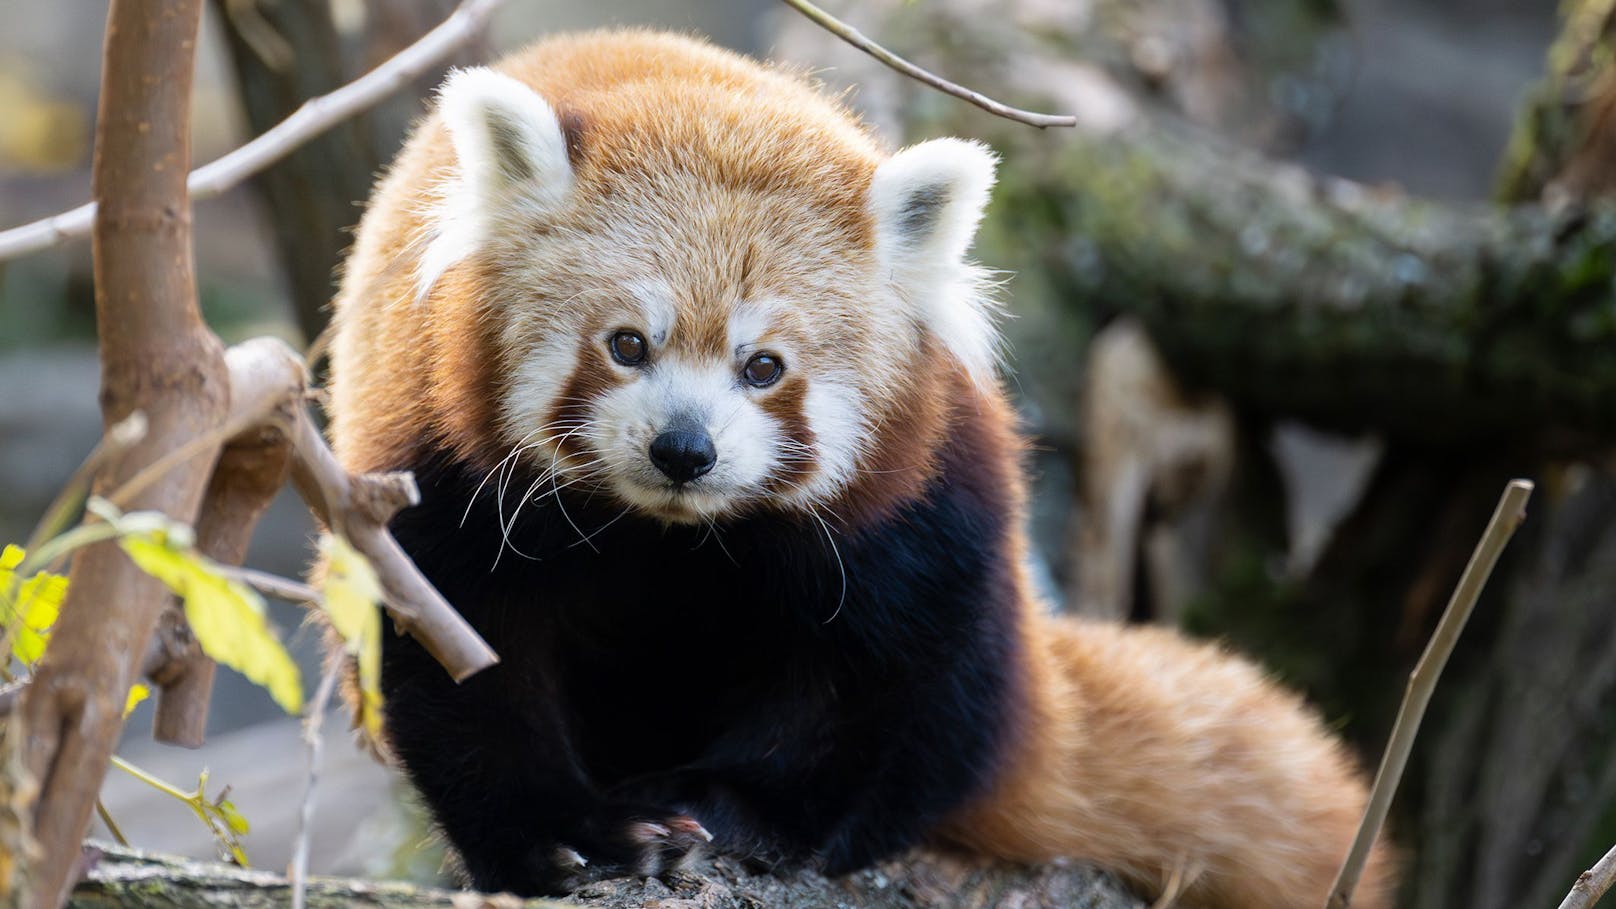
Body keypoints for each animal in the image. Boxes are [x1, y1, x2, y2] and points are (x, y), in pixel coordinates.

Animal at [321, 28, 1396, 905]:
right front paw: (569, 837)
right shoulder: (443, 467)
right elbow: (458, 650)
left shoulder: (911, 507)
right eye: (627, 344)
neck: (669, 536)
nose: (685, 448)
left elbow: (867, 674)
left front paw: (736, 808)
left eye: (764, 367)